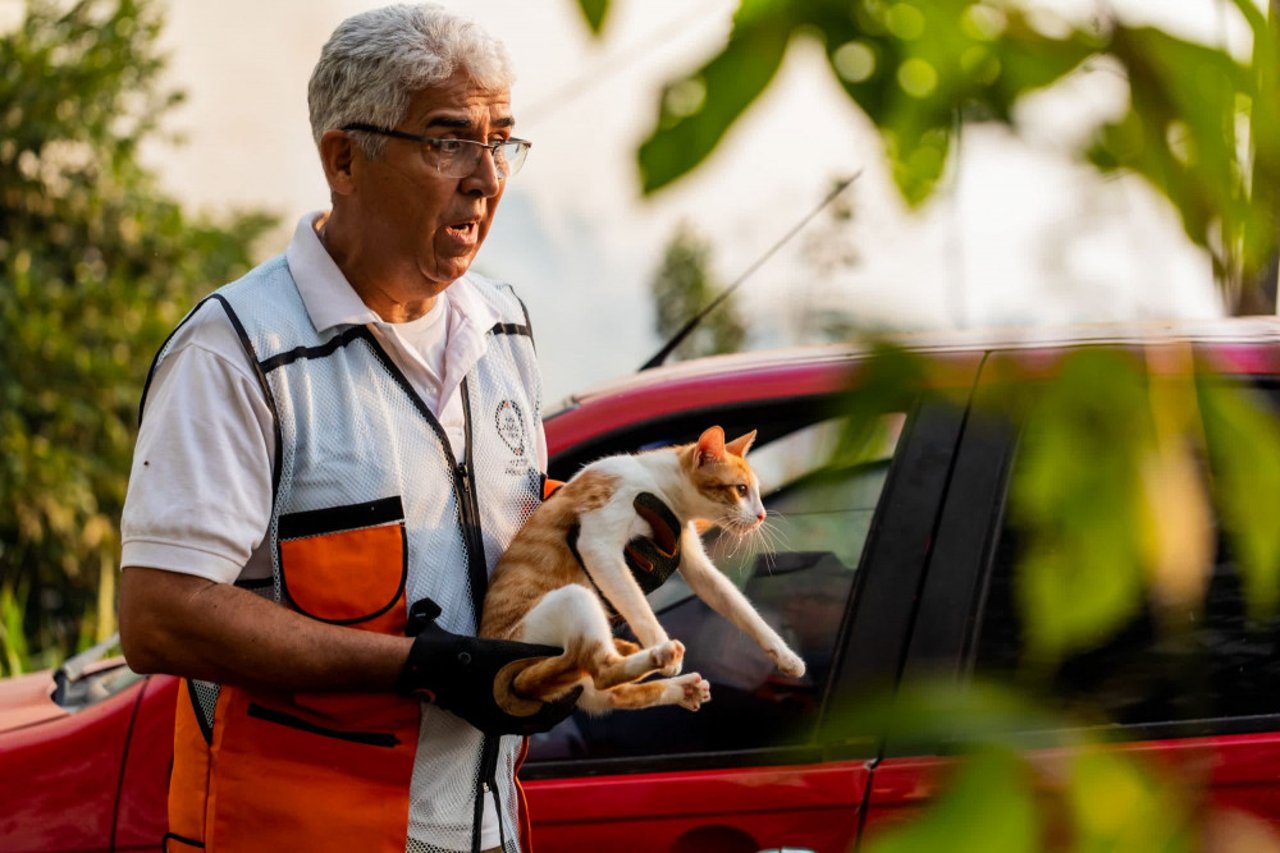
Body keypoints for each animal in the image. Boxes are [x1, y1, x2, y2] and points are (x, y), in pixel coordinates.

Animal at [476, 422, 803, 712]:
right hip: (572, 599)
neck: (656, 484)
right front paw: (659, 643)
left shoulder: (691, 557)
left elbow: (740, 608)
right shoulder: (597, 543)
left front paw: (785, 655)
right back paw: (658, 655)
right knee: (601, 670)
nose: (761, 515)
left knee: (611, 691)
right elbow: (637, 605)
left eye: (754, 491)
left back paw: (678, 685)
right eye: (741, 489)